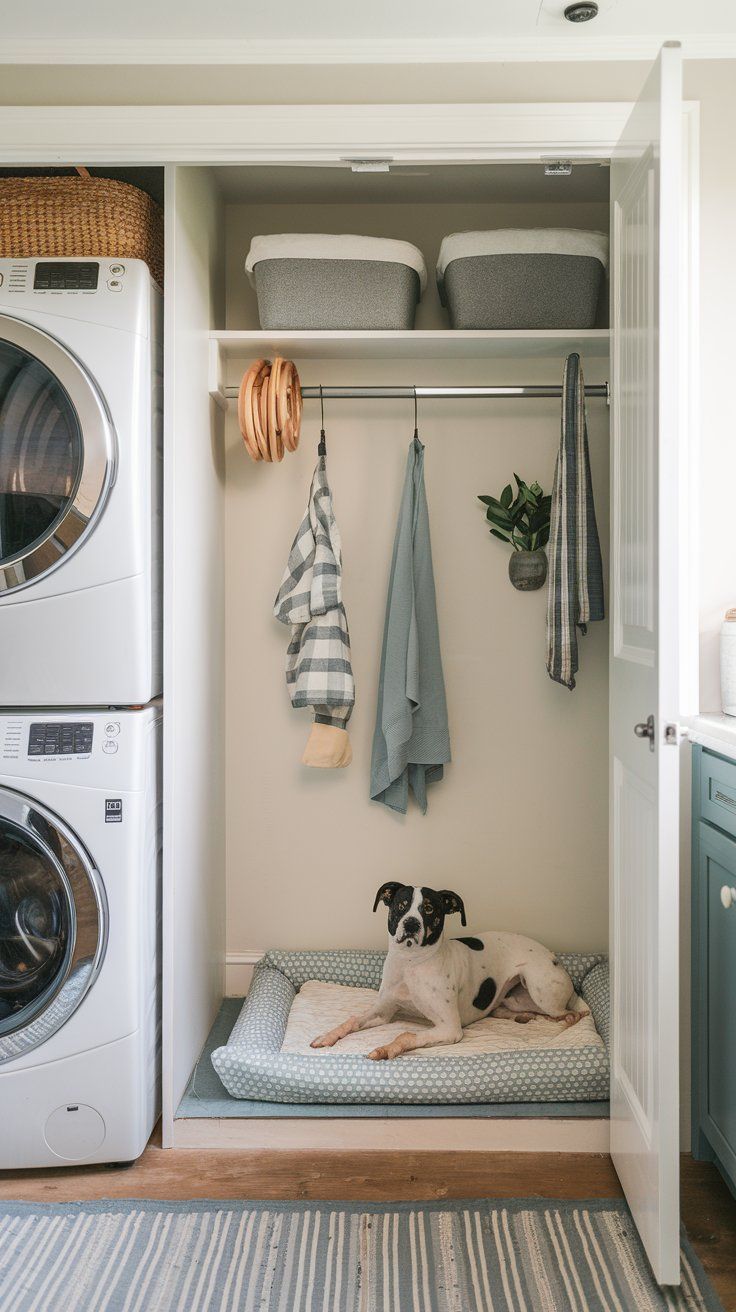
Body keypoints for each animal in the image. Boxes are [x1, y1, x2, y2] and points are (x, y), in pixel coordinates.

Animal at [306, 886, 582, 1060]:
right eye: (401, 905)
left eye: (429, 909)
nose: (411, 923)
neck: (411, 963)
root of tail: (551, 955)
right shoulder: (384, 1011)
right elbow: (352, 1020)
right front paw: (327, 1036)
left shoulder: (449, 1028)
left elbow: (406, 1034)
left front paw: (386, 1050)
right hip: (516, 998)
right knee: (507, 1009)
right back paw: (521, 1016)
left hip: (540, 990)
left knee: (569, 1014)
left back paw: (567, 1017)